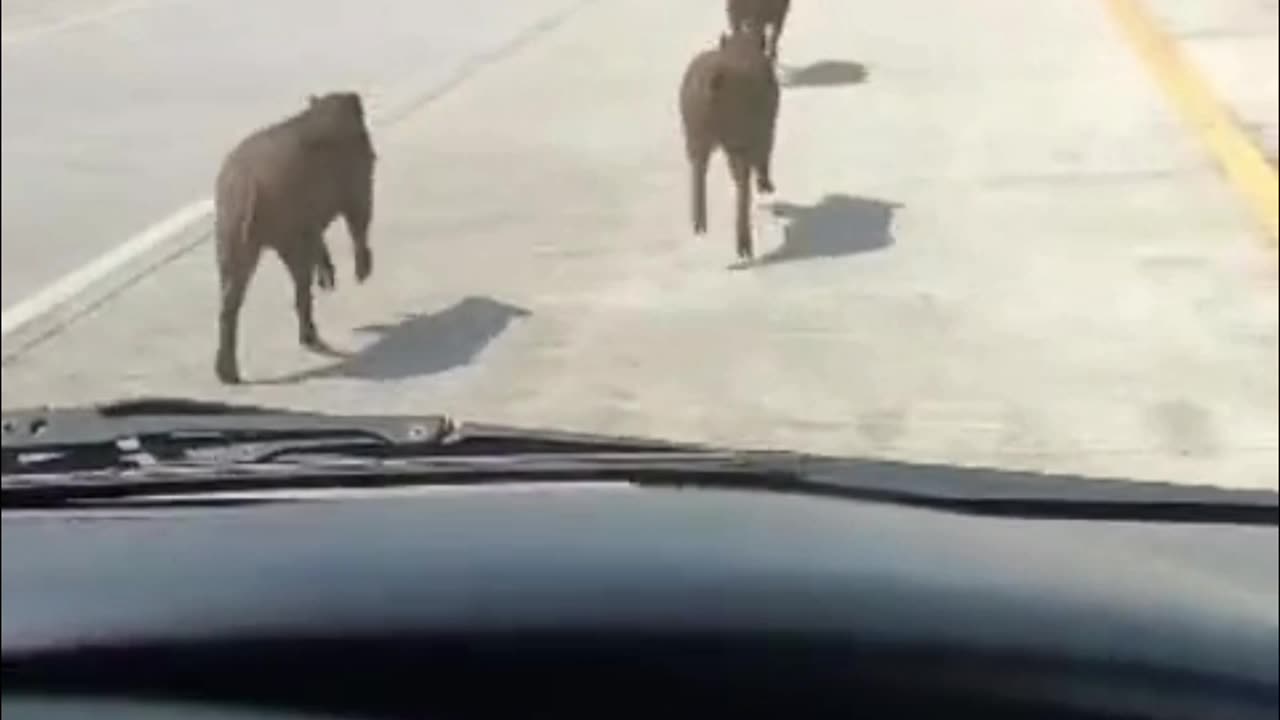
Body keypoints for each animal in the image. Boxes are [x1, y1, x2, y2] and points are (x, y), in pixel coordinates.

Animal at [212, 92, 373, 384]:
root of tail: (247, 187)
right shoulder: (357, 175)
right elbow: (359, 216)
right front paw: (360, 272)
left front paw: (329, 277)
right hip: (282, 221)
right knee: (300, 282)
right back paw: (311, 336)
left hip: (228, 232)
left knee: (231, 295)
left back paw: (228, 374)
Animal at [680, 24, 778, 260]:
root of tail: (715, 82)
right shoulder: (764, 130)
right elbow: (764, 156)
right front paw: (766, 186)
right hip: (738, 136)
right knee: (742, 182)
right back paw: (744, 246)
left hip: (695, 132)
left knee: (699, 170)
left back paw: (699, 224)